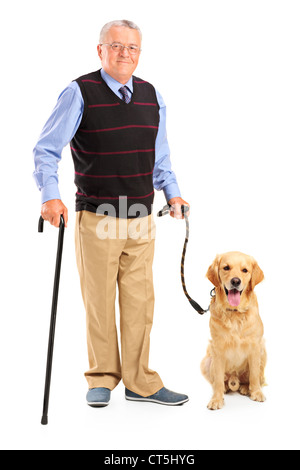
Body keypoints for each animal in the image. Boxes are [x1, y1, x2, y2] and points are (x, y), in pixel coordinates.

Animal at [200, 252, 266, 410]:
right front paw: (216, 399)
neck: (235, 313)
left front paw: (256, 392)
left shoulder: (255, 346)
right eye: (226, 268)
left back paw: (246, 388)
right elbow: (218, 379)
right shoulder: (217, 348)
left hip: (263, 351)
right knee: (217, 380)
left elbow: (254, 374)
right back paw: (225, 387)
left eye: (245, 270)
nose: (235, 281)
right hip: (207, 360)